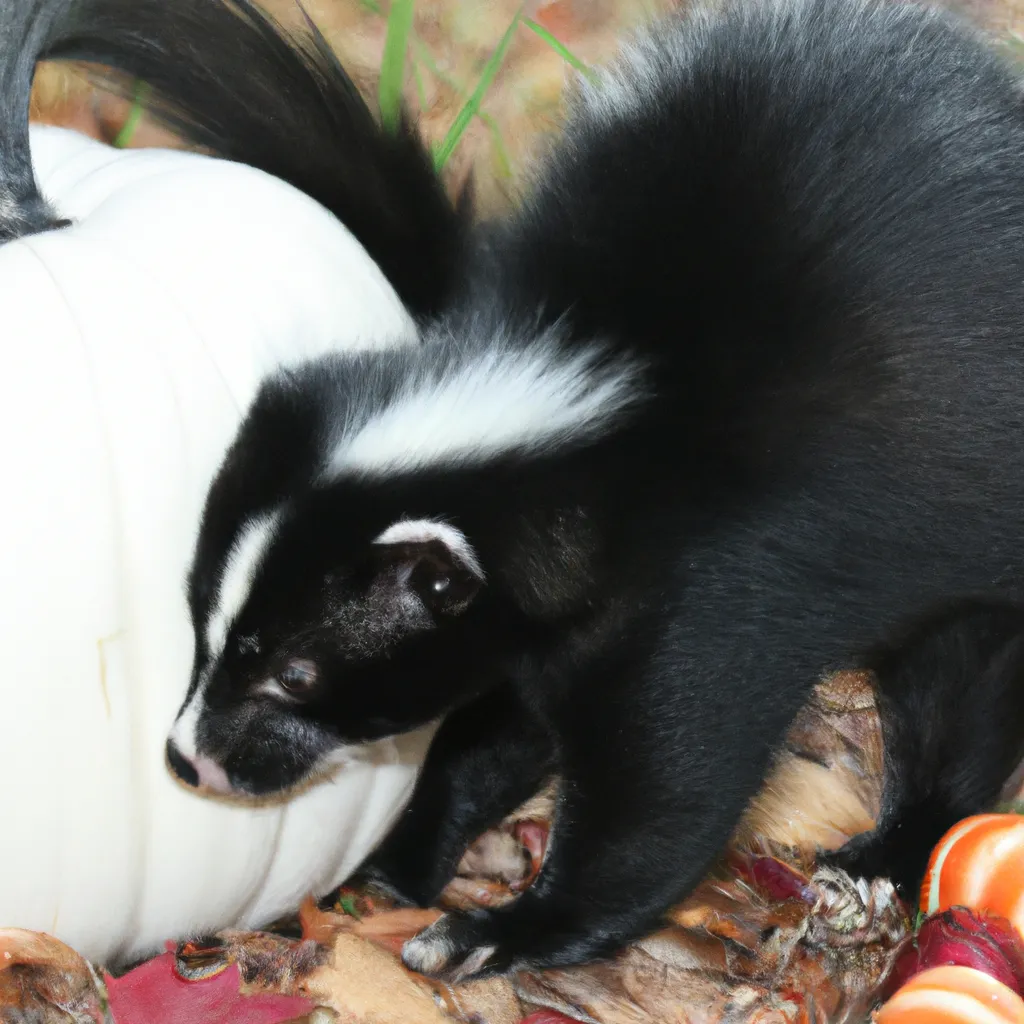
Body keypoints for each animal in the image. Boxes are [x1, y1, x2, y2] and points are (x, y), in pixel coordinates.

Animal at [130, 0, 1024, 978]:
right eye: (201, 622)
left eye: (297, 672)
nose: (188, 759)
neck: (604, 411)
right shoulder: (536, 618)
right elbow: (497, 725)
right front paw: (408, 856)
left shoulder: (713, 584)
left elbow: (664, 790)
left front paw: (497, 928)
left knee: (959, 679)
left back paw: (893, 849)